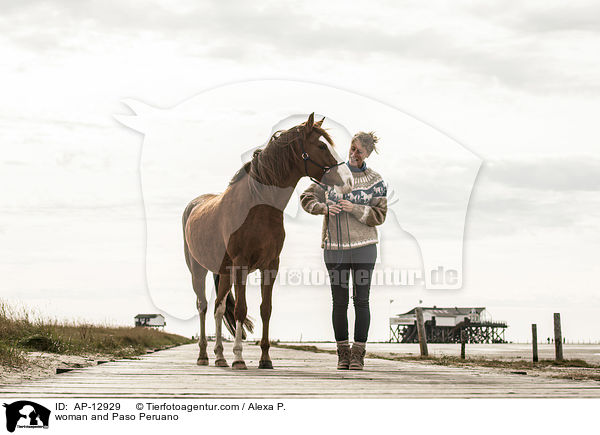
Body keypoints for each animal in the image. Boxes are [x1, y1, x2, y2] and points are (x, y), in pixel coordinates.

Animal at [182, 114, 352, 370]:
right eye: (322, 146)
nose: (349, 181)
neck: (256, 205)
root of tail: (193, 206)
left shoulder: (271, 265)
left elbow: (266, 310)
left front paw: (265, 359)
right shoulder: (241, 264)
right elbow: (241, 310)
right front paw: (239, 358)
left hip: (223, 272)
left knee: (218, 308)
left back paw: (220, 356)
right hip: (198, 270)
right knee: (202, 306)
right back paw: (204, 355)